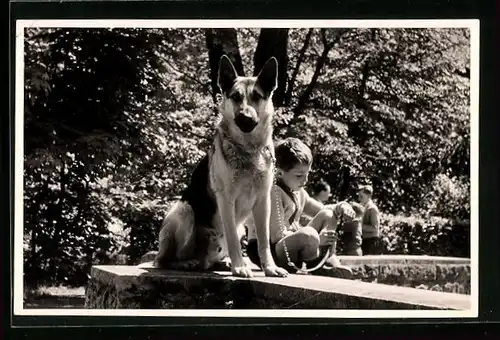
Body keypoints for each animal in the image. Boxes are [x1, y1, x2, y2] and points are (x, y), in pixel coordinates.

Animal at [155, 55, 290, 278]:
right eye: (235, 97)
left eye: (257, 96)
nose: (245, 117)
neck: (248, 150)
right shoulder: (226, 200)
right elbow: (233, 239)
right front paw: (239, 267)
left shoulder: (263, 201)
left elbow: (263, 241)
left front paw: (270, 268)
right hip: (184, 211)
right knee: (165, 259)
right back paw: (186, 263)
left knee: (209, 259)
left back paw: (219, 263)